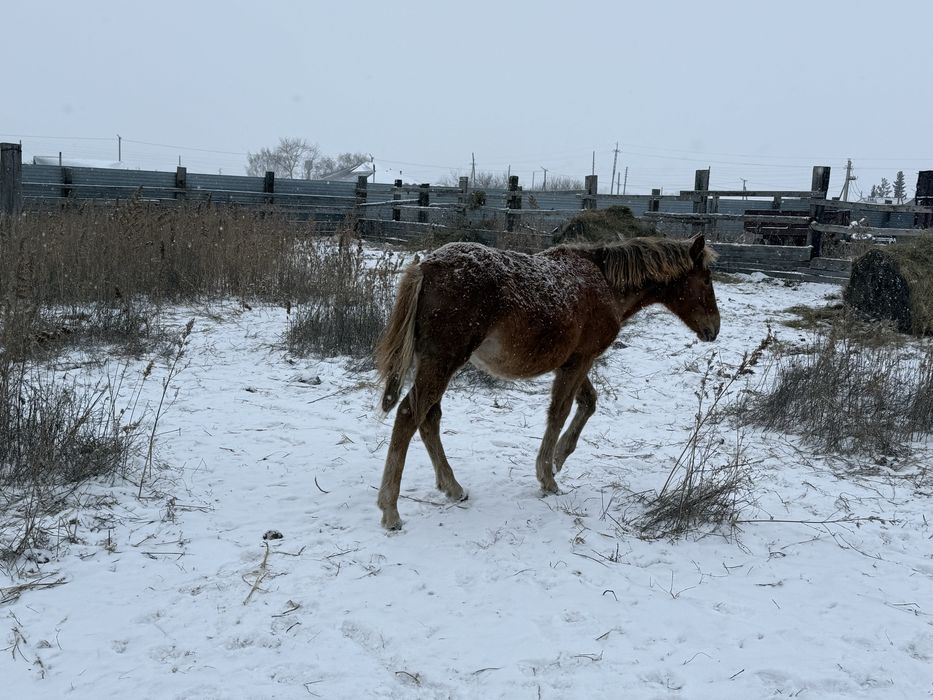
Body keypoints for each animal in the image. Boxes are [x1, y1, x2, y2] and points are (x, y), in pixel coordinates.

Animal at [374, 235, 720, 530]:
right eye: (706, 280)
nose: (714, 329)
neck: (604, 282)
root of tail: (425, 267)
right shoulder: (580, 360)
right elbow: (560, 412)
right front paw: (548, 476)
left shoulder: (573, 361)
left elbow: (587, 403)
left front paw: (557, 459)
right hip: (443, 363)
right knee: (409, 415)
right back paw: (391, 510)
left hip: (435, 364)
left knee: (429, 418)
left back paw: (452, 487)